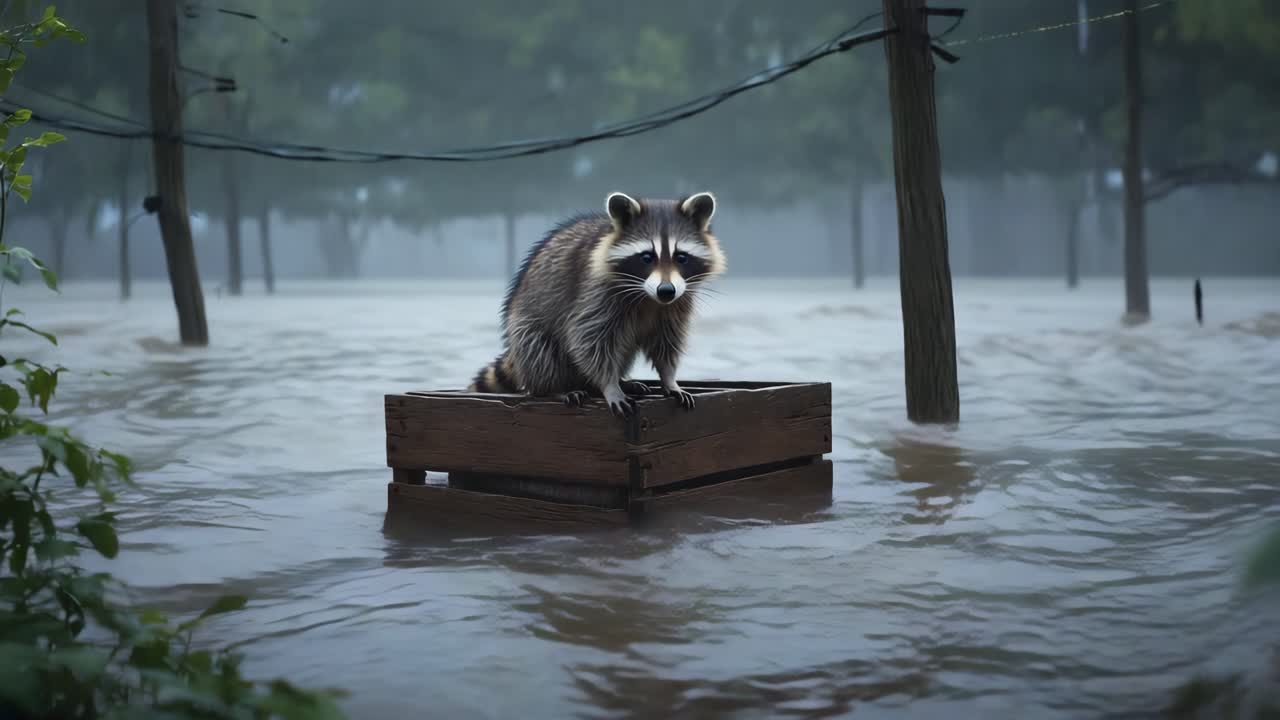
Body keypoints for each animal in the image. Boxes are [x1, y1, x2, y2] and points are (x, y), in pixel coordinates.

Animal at [467, 191, 726, 418]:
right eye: (646, 257)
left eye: (681, 257)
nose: (666, 290)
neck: (649, 298)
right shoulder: (594, 293)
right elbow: (589, 340)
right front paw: (609, 384)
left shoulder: (678, 301)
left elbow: (667, 341)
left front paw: (669, 378)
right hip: (526, 328)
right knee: (538, 349)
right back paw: (554, 388)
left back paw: (621, 380)